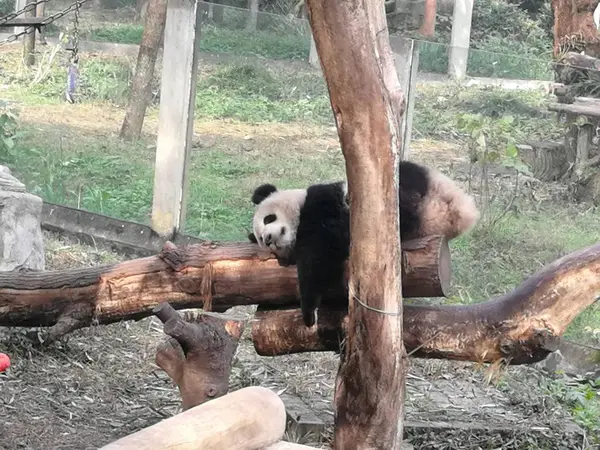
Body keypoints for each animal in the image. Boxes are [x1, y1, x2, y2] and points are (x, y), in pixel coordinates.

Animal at [247, 161, 478, 326]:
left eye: (268, 218)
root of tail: (457, 214)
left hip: (422, 183)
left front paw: (308, 312)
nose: (268, 238)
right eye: (259, 240)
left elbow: (316, 257)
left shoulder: (319, 205)